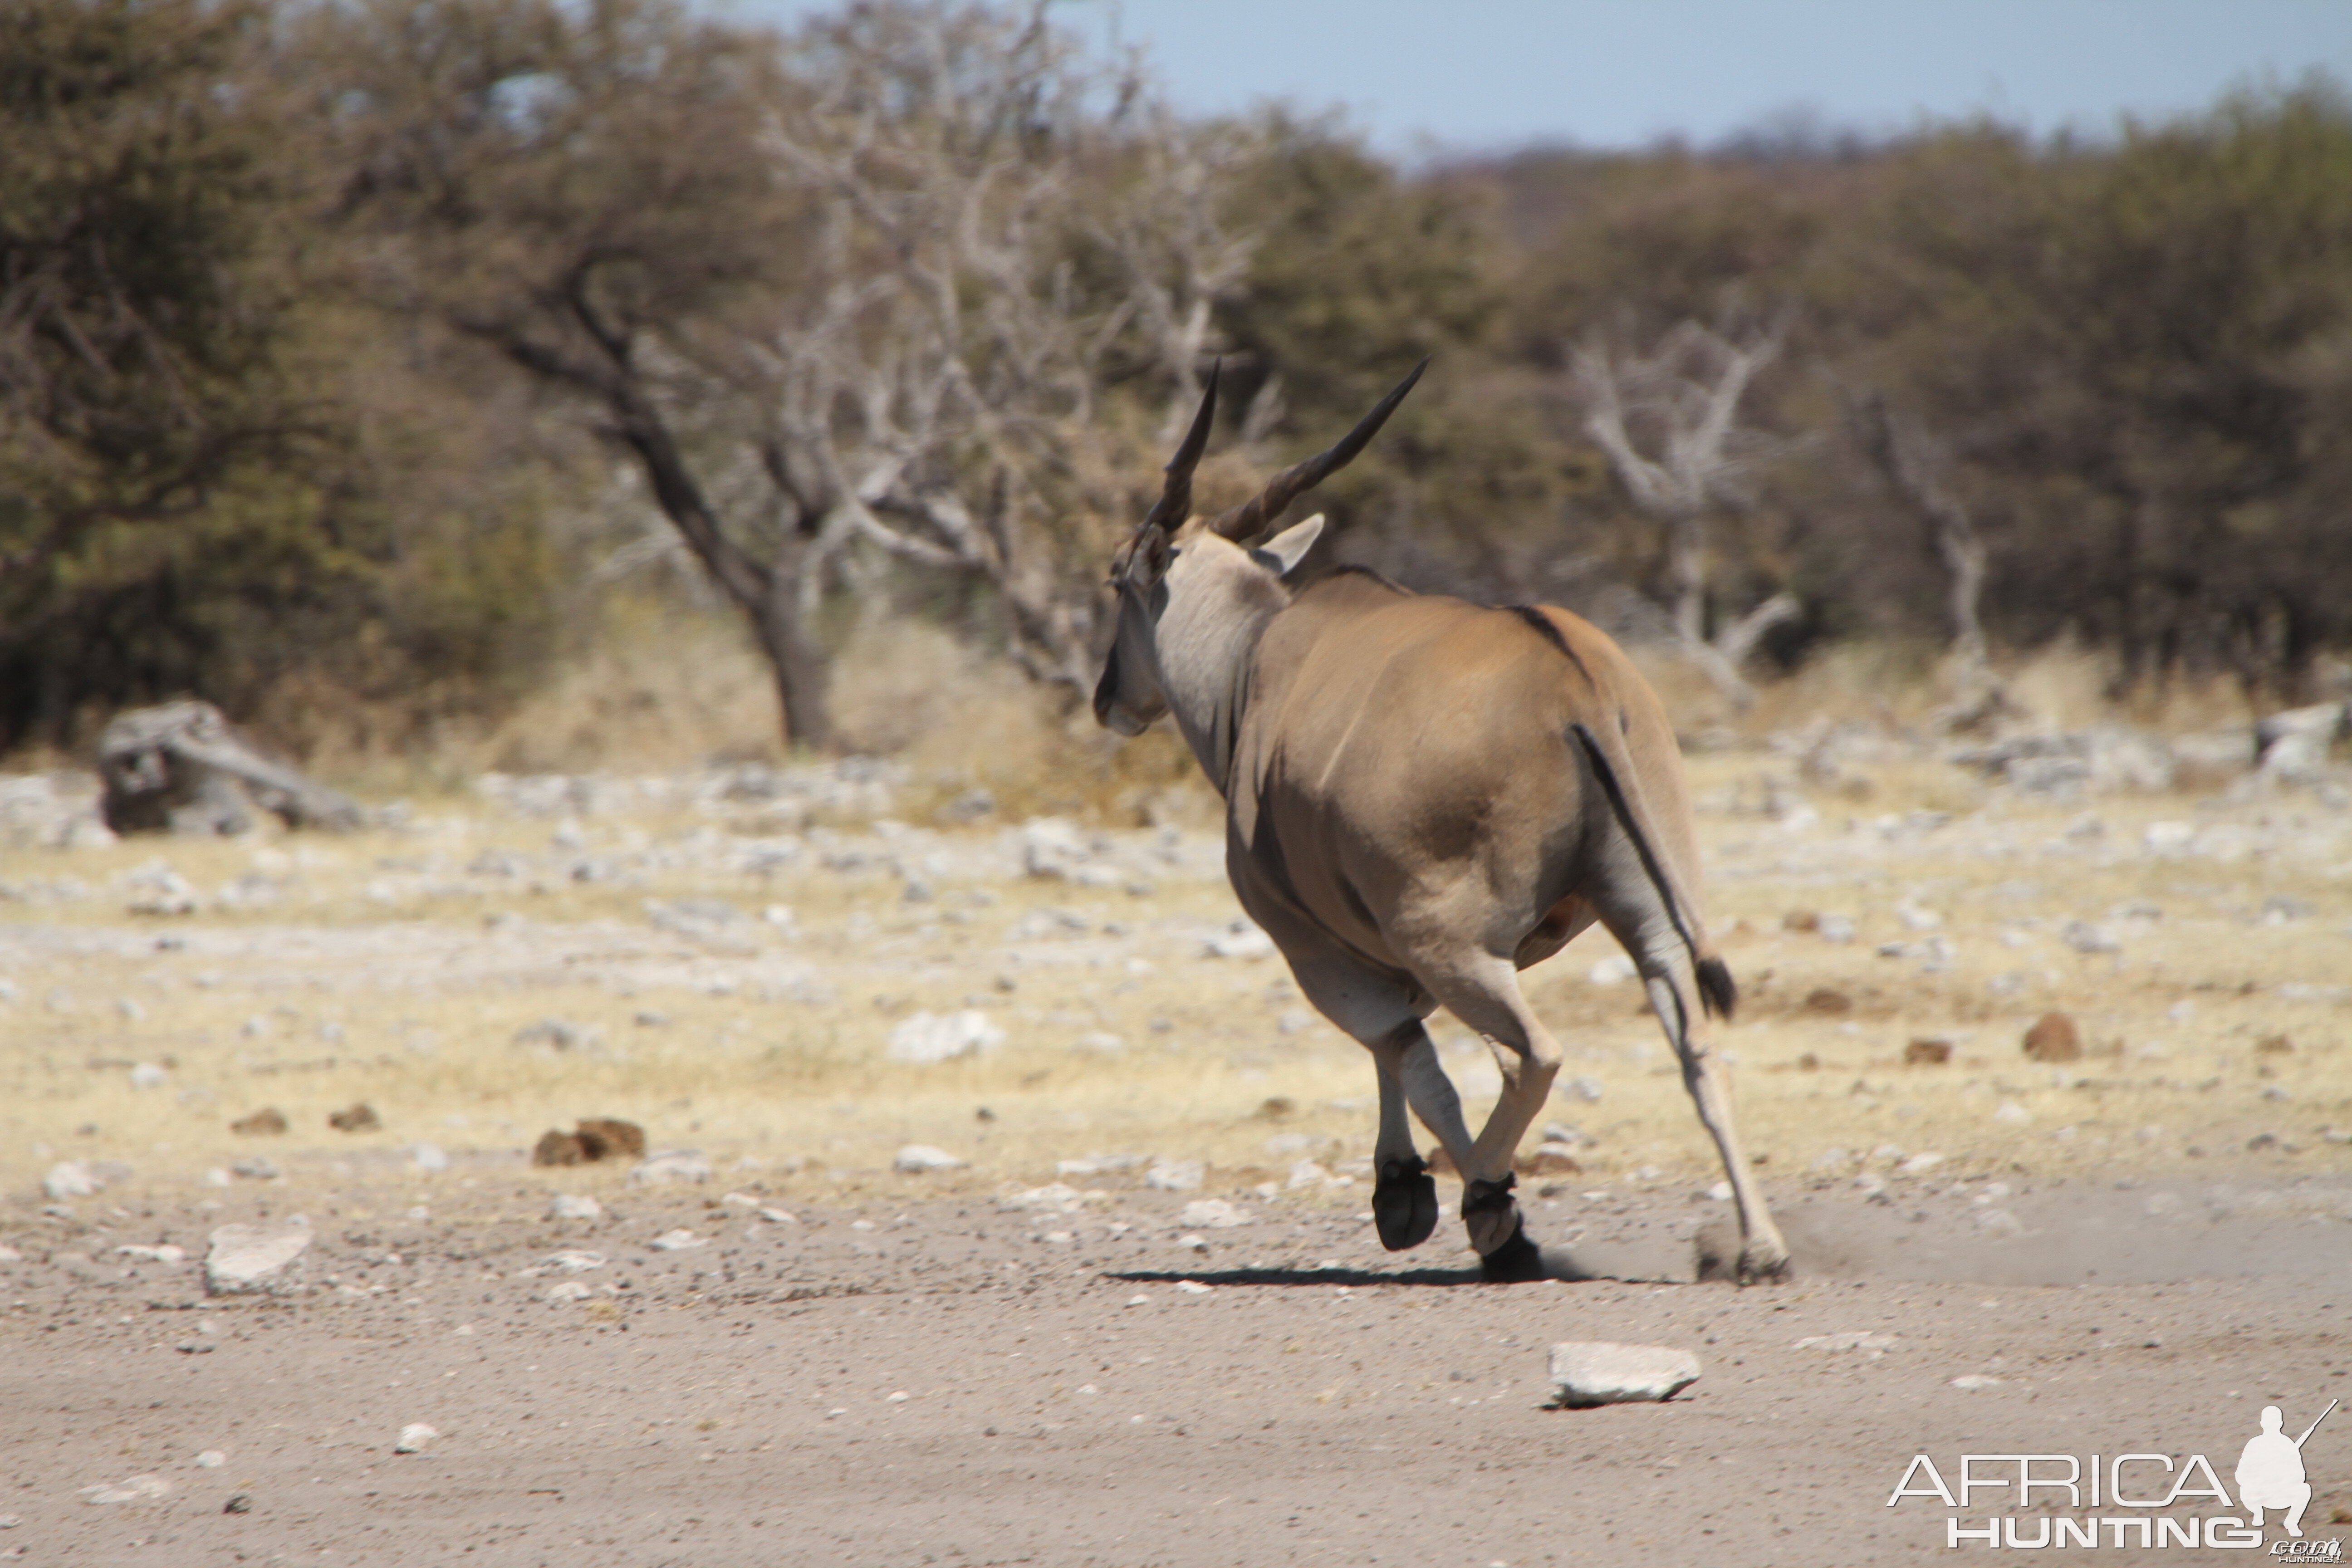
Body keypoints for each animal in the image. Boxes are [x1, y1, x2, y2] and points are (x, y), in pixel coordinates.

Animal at [1091, 369, 1787, 1288]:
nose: (1106, 697)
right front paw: (1402, 1186)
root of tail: (1577, 683)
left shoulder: (1318, 950)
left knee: (1534, 1054)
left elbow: (1411, 1059)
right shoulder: (1387, 952)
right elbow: (1402, 1052)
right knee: (1697, 1054)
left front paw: (1456, 1207)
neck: (1251, 661)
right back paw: (1760, 1247)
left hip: (1455, 946)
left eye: (1116, 582)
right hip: (1648, 923)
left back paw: (1491, 1200)